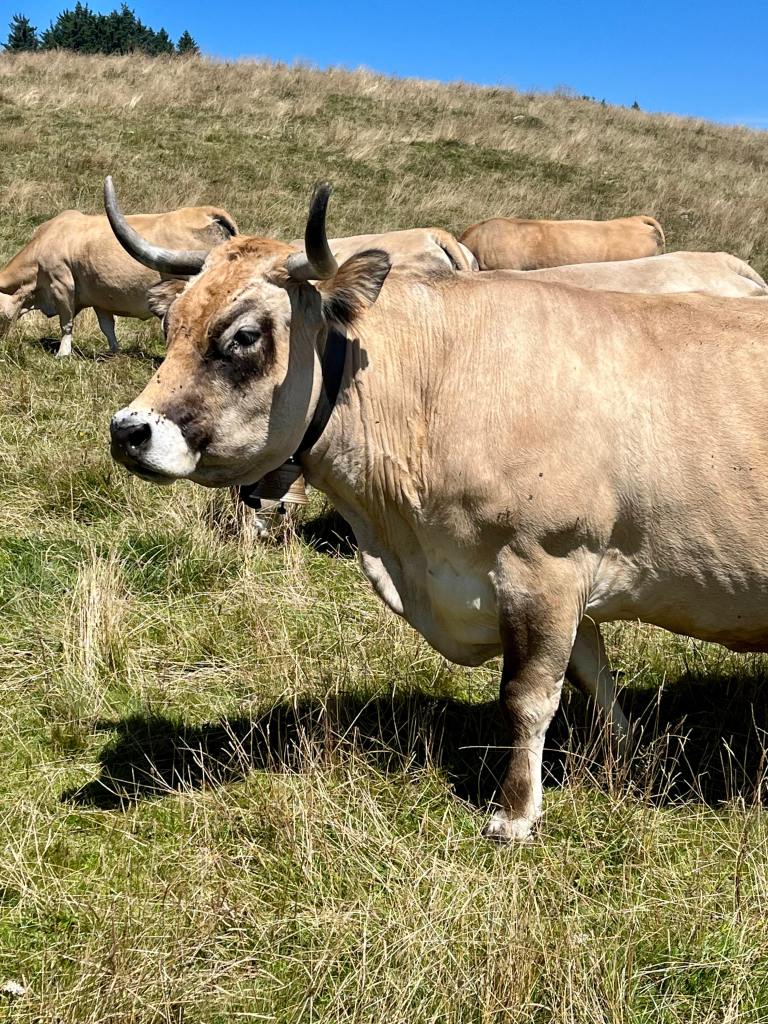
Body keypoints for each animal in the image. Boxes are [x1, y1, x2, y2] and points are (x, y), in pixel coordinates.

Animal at [0, 204, 238, 357]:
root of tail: (204, 211)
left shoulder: (62, 285)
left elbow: (66, 324)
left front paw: (63, 354)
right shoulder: (98, 298)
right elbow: (107, 327)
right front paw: (115, 353)